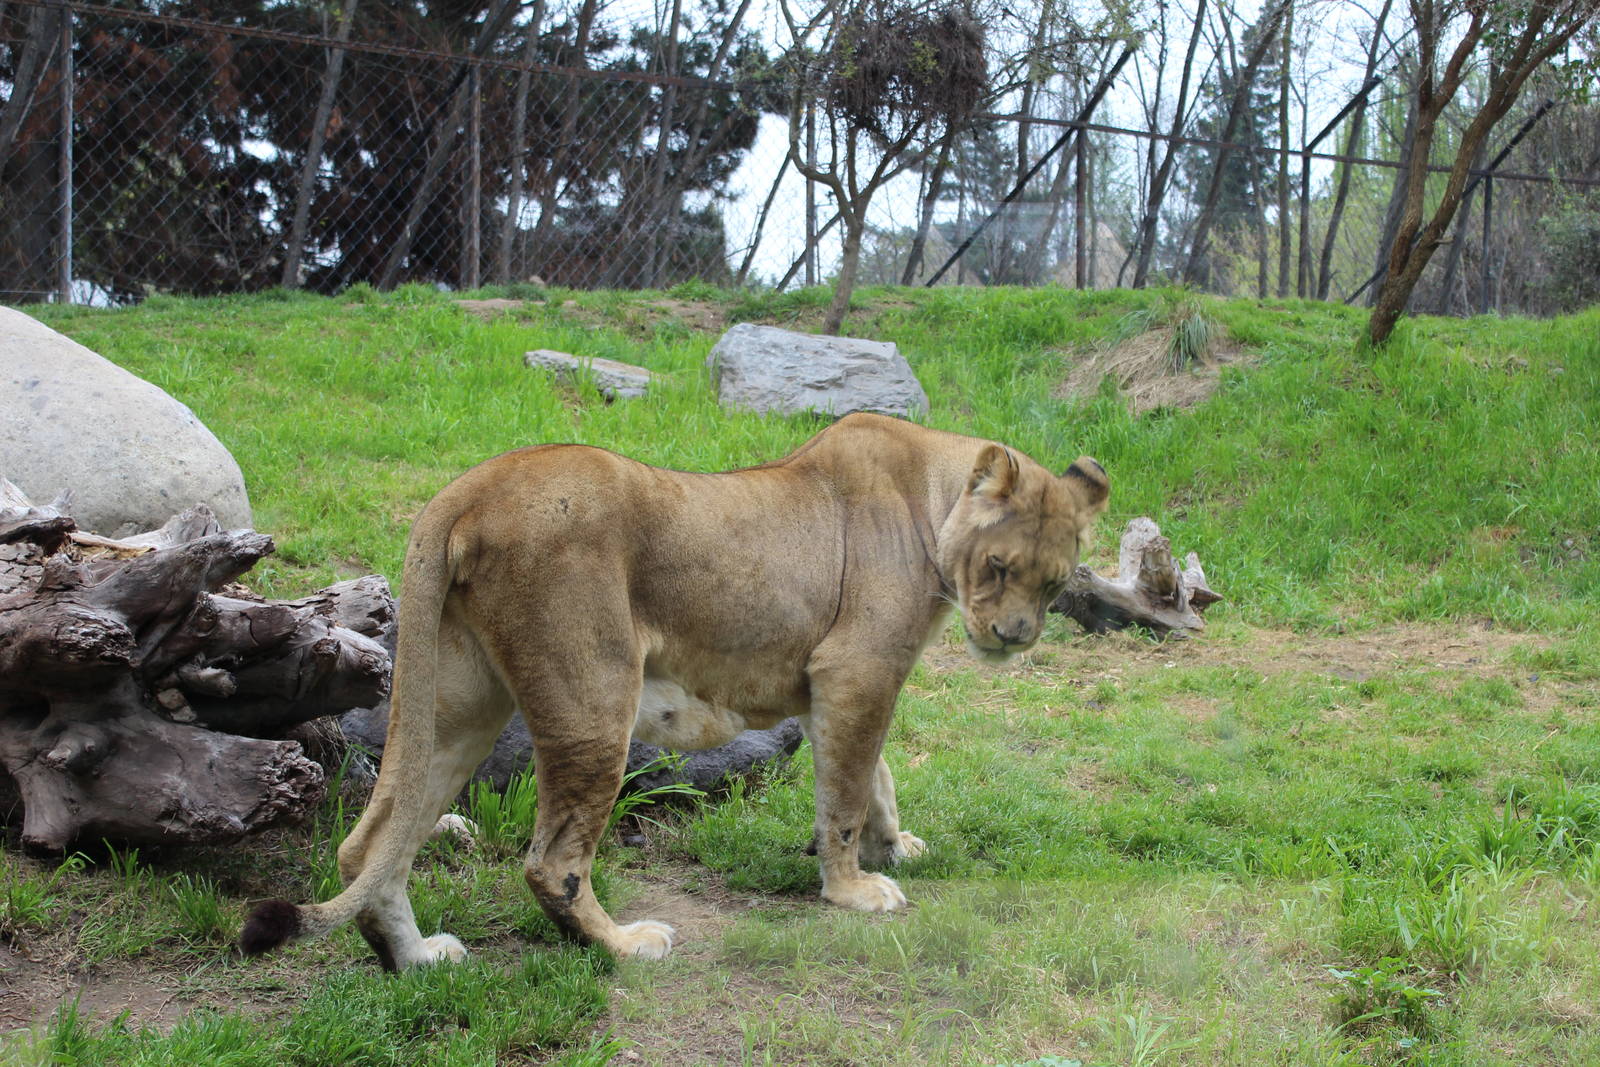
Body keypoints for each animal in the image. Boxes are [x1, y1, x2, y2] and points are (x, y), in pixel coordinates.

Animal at [240, 412, 1108, 969]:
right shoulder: (856, 668)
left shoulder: (838, 683)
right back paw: (626, 946)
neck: (931, 501)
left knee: (372, 841)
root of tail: (471, 486)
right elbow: (847, 792)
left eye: (1055, 582)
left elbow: (876, 776)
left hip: (459, 707)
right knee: (551, 862)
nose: (1014, 636)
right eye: (999, 566)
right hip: (596, 697)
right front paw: (854, 889)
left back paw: (417, 956)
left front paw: (895, 845)